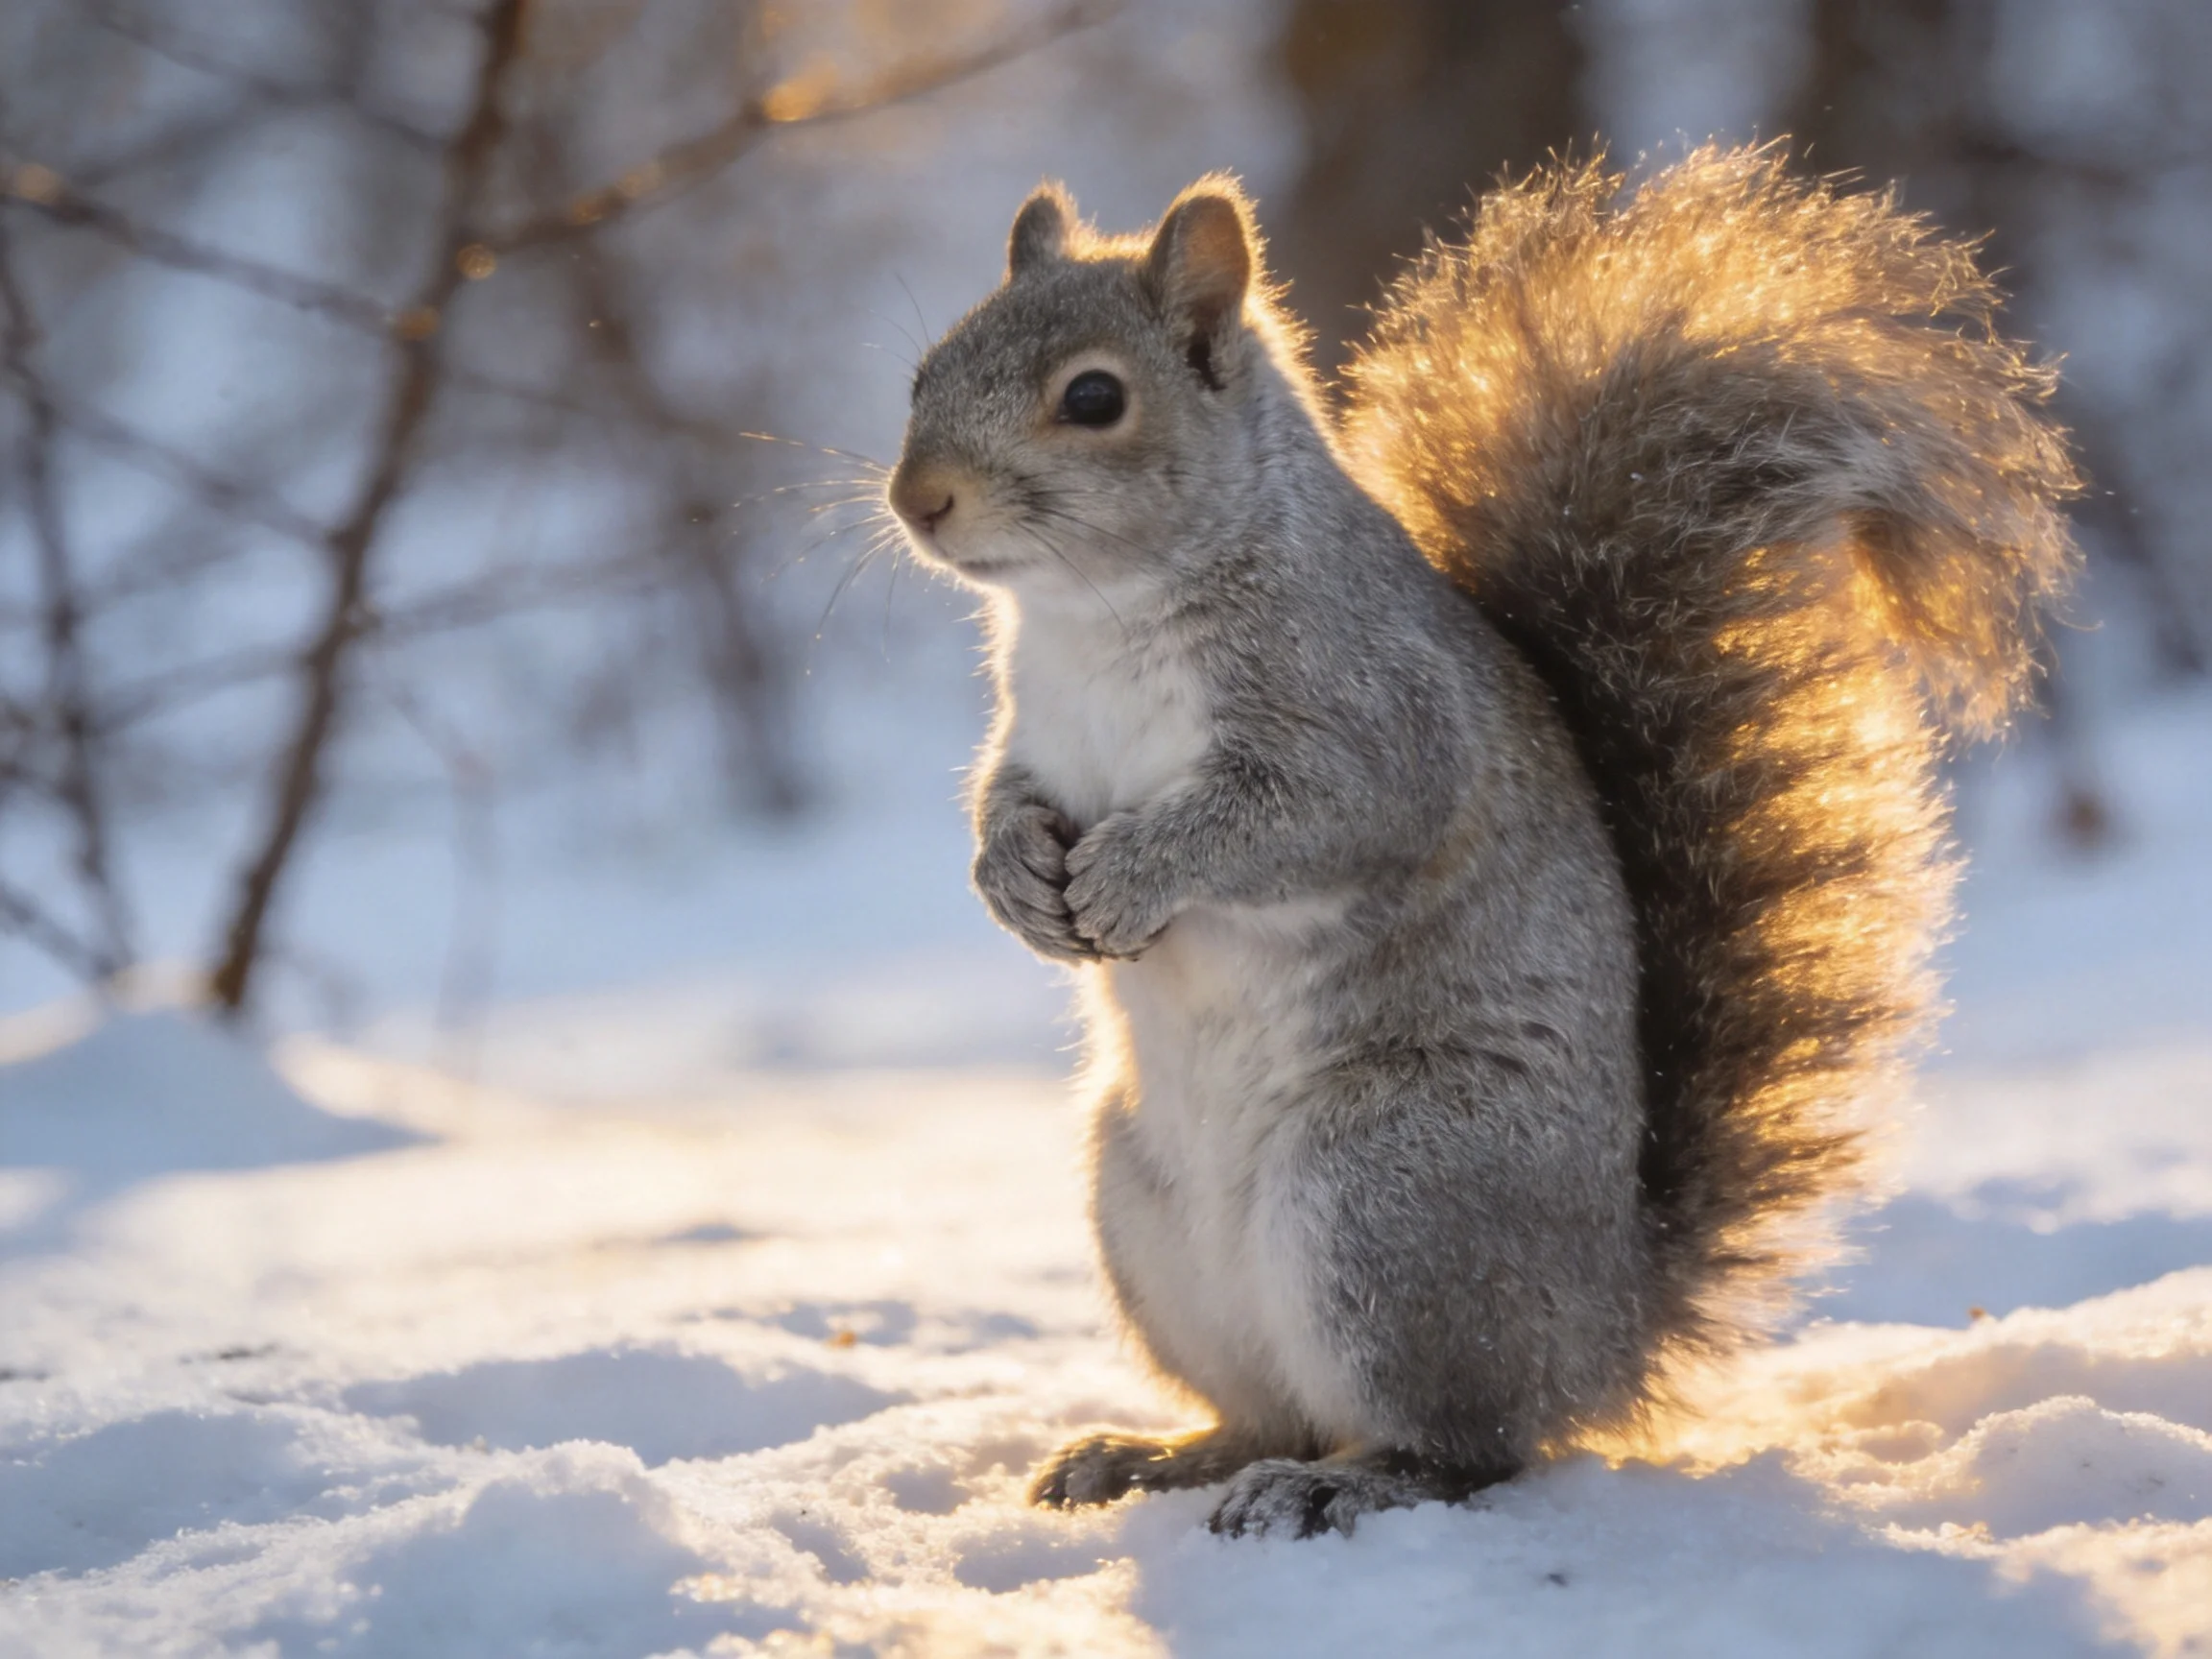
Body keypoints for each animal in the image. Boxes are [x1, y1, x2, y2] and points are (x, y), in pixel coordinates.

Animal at [885, 147, 2077, 1540]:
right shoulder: (1038, 735)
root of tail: (1609, 1336)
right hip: (1145, 1215)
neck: (1098, 616)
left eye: (1092, 397)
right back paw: (1157, 1456)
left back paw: (1342, 1483)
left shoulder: (1371, 721)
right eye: (925, 370)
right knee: (1270, 1411)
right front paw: (1013, 877)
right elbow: (1004, 798)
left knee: (1467, 1444)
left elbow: (1297, 817)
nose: (916, 500)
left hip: (1388, 1201)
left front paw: (1135, 873)